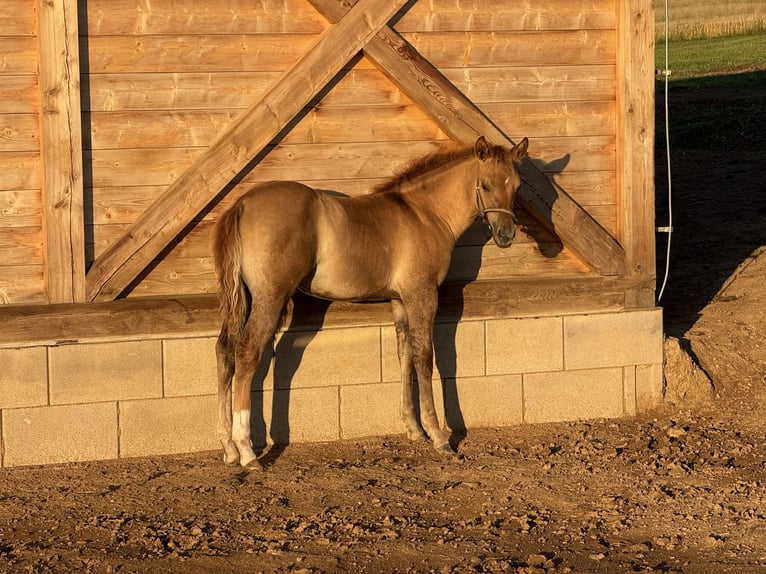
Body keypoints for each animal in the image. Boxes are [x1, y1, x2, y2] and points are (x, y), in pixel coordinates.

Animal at [213, 135, 529, 468]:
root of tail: (243, 203)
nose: (506, 235)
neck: (424, 213)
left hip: (245, 299)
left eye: (517, 185)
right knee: (247, 352)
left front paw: (414, 429)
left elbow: (405, 356)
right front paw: (438, 435)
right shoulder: (422, 295)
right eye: (485, 185)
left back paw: (228, 447)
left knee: (225, 352)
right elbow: (425, 357)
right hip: (270, 297)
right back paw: (247, 450)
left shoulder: (400, 301)